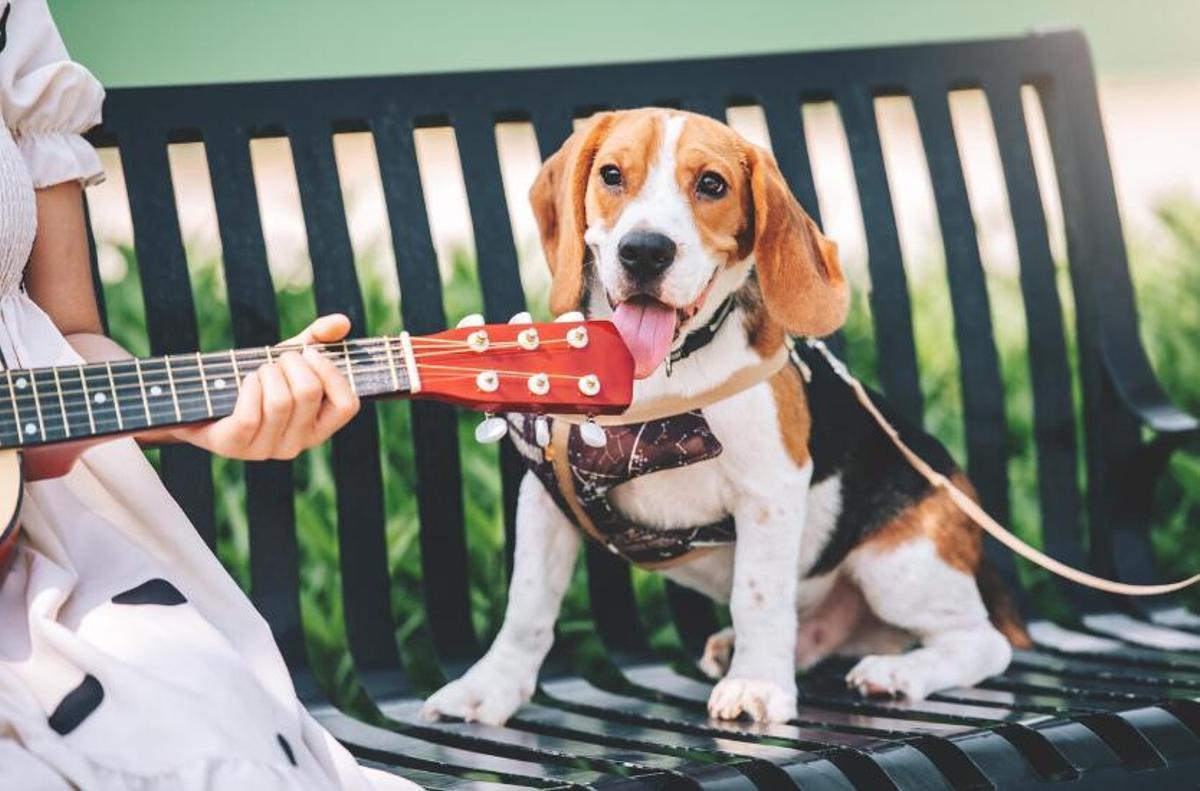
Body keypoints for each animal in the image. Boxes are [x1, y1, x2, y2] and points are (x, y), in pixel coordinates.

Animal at [420, 108, 1022, 724]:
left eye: (712, 184)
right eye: (611, 174)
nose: (645, 251)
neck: (659, 373)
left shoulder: (769, 492)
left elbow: (757, 594)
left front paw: (757, 684)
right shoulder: (547, 493)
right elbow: (527, 607)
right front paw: (488, 688)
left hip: (899, 564)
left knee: (983, 642)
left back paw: (896, 673)